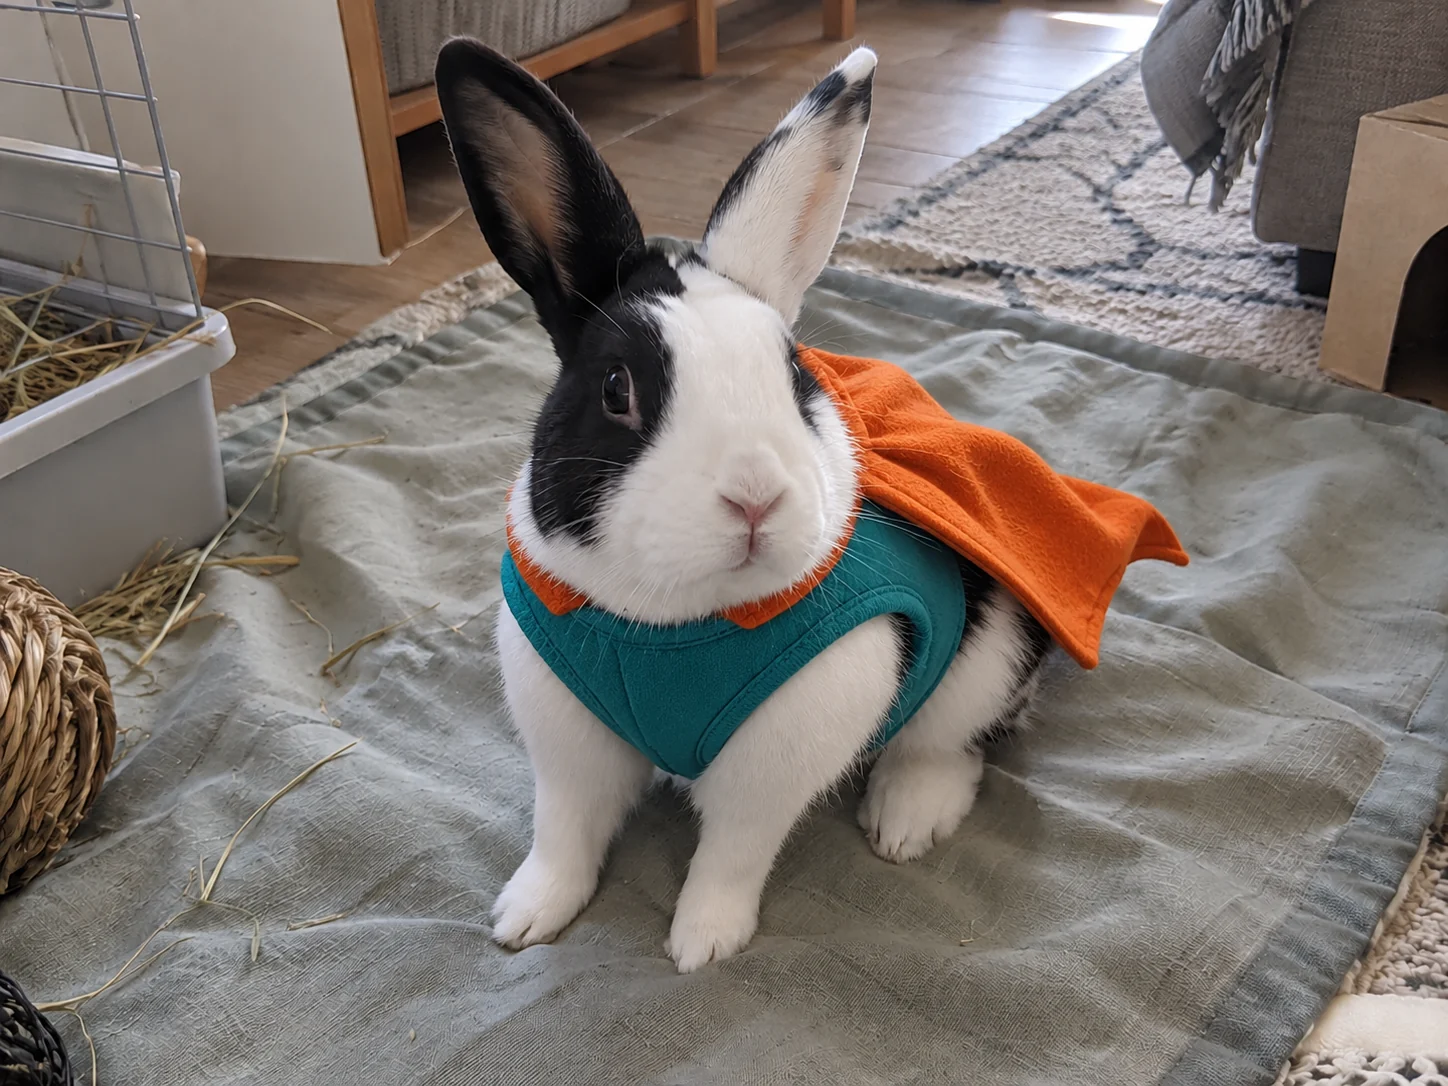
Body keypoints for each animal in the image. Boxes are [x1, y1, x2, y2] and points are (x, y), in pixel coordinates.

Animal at [435, 39, 1051, 973]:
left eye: (796, 377)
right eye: (616, 389)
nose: (756, 499)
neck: (668, 629)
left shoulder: (776, 757)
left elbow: (732, 851)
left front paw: (703, 945)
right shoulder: (567, 740)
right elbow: (565, 830)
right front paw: (526, 919)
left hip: (988, 658)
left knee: (955, 745)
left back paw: (905, 821)